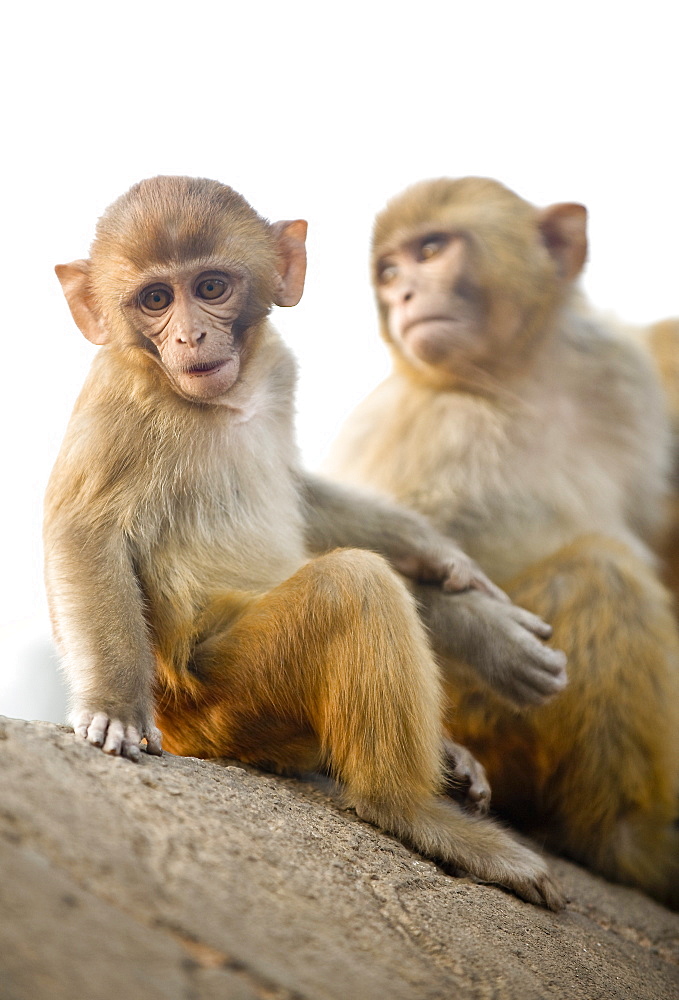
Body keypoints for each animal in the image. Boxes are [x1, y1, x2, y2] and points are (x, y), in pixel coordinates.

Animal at [45, 176, 568, 912]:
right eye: (154, 299)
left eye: (210, 287)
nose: (189, 334)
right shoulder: (119, 398)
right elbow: (84, 533)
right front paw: (114, 709)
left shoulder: (277, 372)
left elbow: (299, 491)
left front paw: (448, 563)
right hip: (227, 701)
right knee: (353, 585)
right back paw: (410, 808)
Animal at [326, 176, 679, 912]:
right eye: (390, 272)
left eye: (430, 251)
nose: (403, 296)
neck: (517, 380)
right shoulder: (428, 423)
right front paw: (487, 637)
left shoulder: (618, 372)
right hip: (486, 718)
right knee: (599, 570)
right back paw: (625, 846)